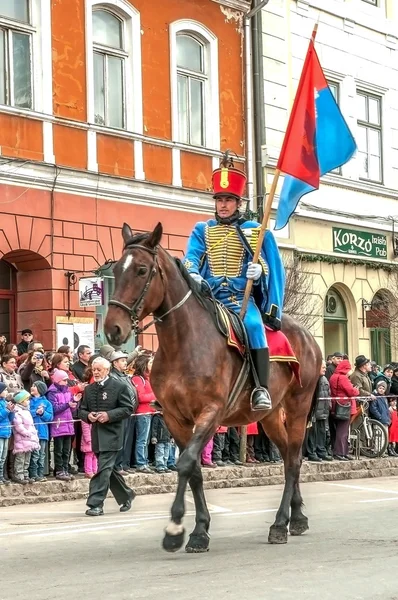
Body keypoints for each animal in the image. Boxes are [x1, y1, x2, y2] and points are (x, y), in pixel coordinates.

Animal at [104, 224, 322, 552]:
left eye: (142, 270)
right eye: (116, 269)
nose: (112, 329)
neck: (184, 343)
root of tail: (308, 336)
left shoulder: (211, 412)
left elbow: (185, 464)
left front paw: (176, 529)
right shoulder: (174, 418)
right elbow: (193, 469)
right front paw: (199, 529)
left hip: (297, 407)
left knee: (294, 460)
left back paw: (280, 523)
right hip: (270, 415)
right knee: (287, 457)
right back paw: (297, 517)